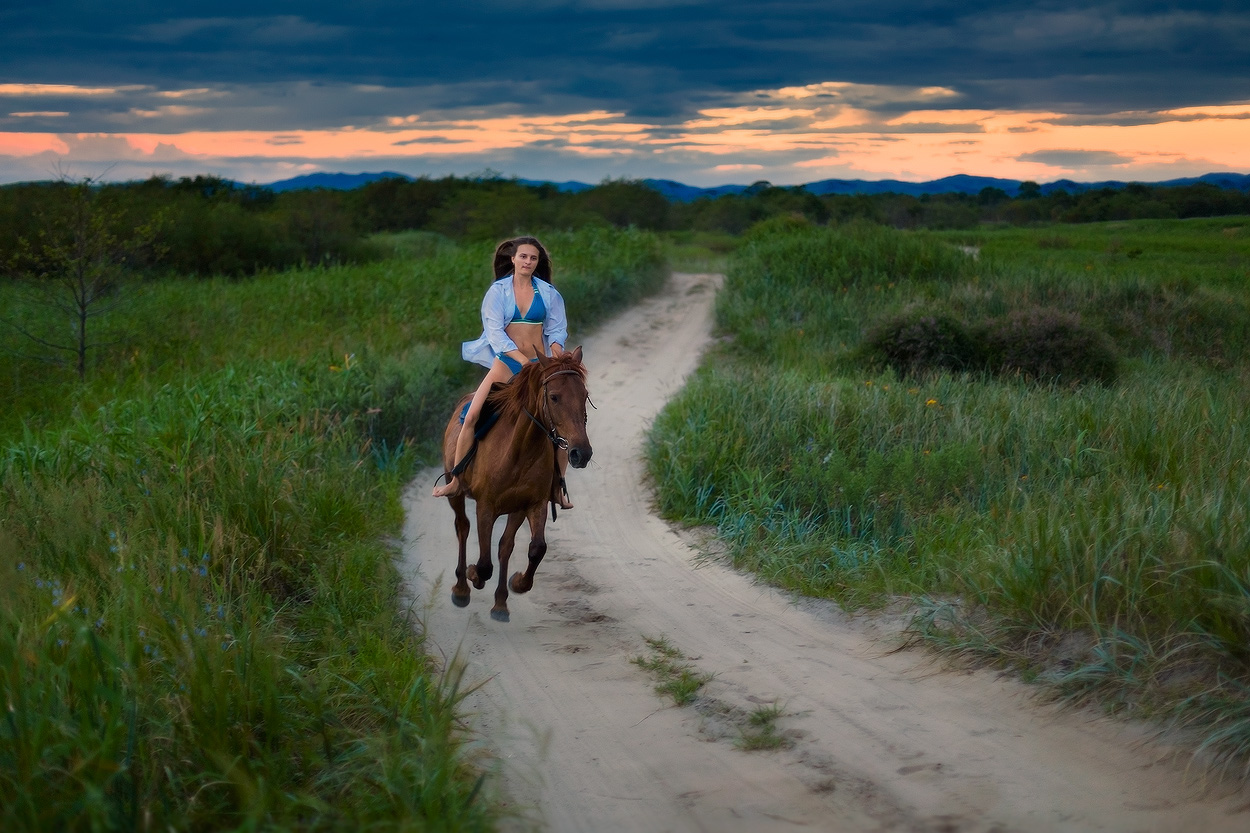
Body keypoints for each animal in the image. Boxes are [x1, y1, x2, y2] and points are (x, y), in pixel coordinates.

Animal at [440, 347, 595, 620]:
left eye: (584, 396)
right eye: (554, 397)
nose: (581, 453)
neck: (519, 450)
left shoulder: (532, 504)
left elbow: (535, 548)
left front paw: (518, 583)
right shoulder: (485, 507)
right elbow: (484, 563)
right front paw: (473, 575)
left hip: (515, 509)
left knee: (505, 545)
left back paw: (501, 603)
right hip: (454, 489)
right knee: (462, 526)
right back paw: (461, 588)